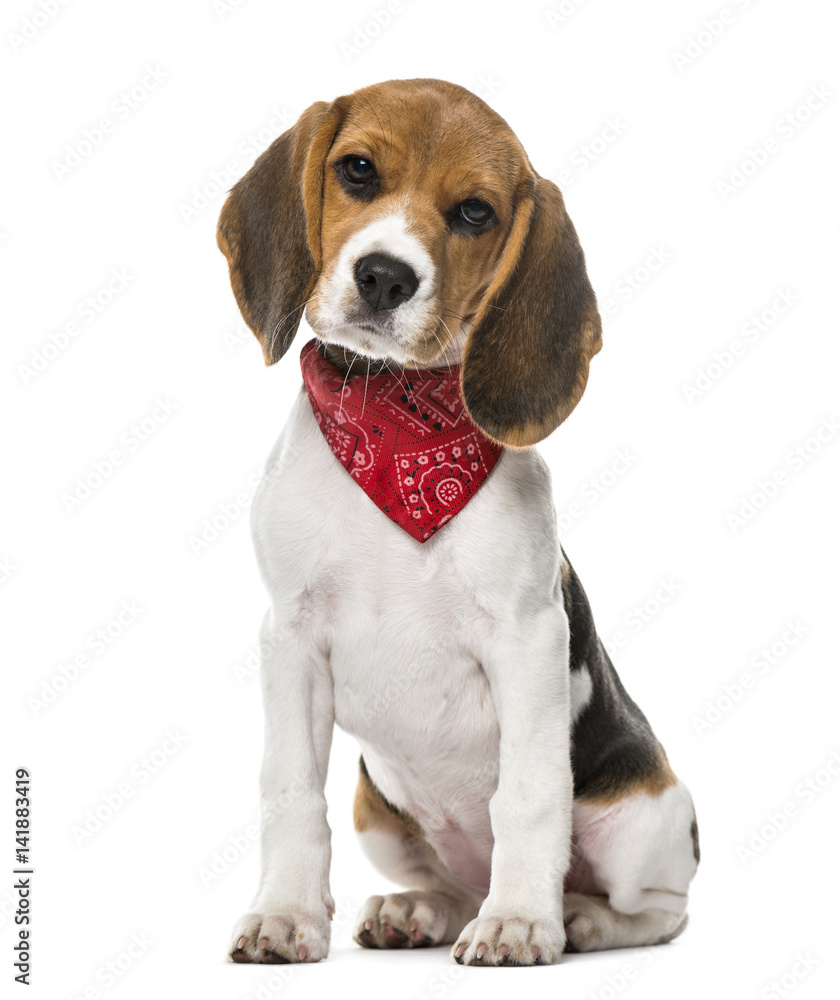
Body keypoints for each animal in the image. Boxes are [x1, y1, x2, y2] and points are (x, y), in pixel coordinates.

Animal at [218, 74, 704, 964]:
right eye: (358, 169)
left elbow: (529, 797)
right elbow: (289, 791)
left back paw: (576, 917)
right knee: (449, 884)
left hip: (645, 816)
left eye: (475, 212)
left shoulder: (529, 638)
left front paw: (520, 922)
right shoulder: (289, 638)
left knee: (658, 907)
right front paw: (285, 916)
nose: (384, 276)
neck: (393, 415)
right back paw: (419, 909)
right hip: (377, 810)